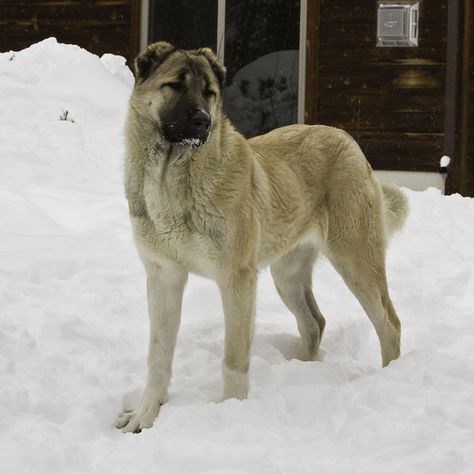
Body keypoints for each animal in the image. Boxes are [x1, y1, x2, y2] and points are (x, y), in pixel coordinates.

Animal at [115, 42, 408, 432]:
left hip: (355, 261)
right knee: (314, 322)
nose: (203, 122)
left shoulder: (237, 279)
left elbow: (234, 358)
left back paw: (389, 379)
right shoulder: (164, 277)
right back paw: (303, 372)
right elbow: (158, 356)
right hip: (287, 275)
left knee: (389, 324)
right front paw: (146, 415)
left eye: (209, 92)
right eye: (175, 85)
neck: (171, 176)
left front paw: (231, 416)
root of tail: (347, 139)